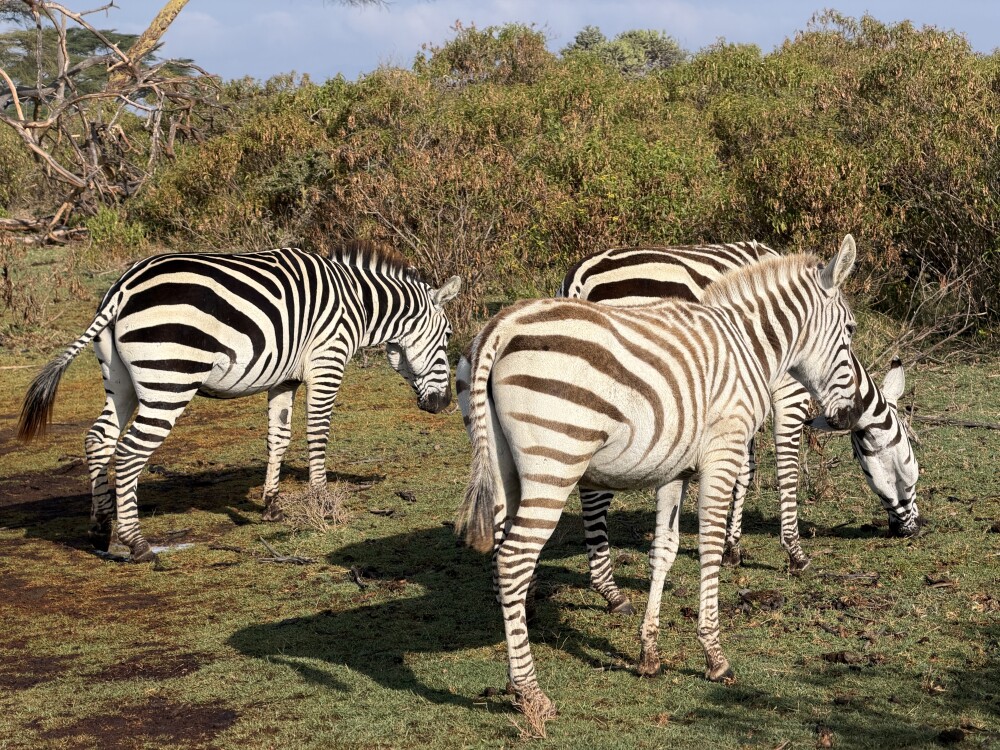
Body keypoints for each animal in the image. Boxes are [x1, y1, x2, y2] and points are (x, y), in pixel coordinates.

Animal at [18, 243, 462, 563]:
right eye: (447, 339)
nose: (444, 406)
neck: (358, 304)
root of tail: (123, 287)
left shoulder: (285, 378)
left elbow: (278, 438)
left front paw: (272, 506)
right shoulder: (327, 362)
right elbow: (317, 434)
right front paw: (322, 502)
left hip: (121, 380)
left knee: (99, 439)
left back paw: (99, 529)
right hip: (168, 383)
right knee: (128, 452)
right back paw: (138, 545)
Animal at [456, 237, 861, 717]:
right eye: (851, 330)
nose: (851, 414)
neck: (749, 344)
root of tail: (502, 326)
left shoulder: (675, 469)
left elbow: (663, 551)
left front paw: (649, 653)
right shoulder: (722, 453)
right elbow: (708, 546)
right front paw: (714, 655)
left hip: (504, 468)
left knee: (505, 555)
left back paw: (516, 667)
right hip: (555, 463)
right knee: (514, 558)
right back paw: (530, 692)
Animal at [552, 241, 920, 612]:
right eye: (911, 464)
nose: (915, 529)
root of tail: (579, 279)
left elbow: (746, 468)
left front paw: (732, 547)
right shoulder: (788, 390)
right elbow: (786, 467)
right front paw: (794, 552)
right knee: (592, 489)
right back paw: (609, 589)